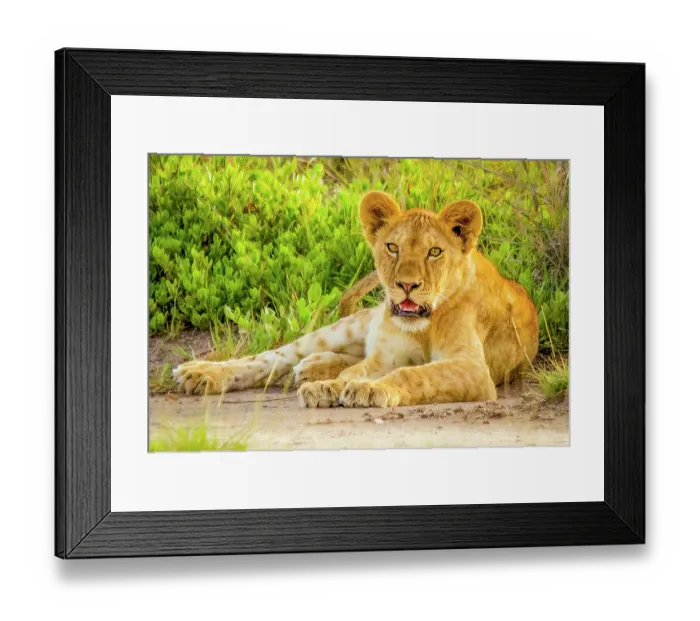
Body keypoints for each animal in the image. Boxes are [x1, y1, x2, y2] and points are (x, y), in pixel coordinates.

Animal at [173, 191, 539, 407]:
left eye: (435, 252)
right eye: (393, 247)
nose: (406, 285)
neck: (424, 324)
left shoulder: (474, 369)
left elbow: (412, 374)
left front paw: (370, 390)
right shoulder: (385, 356)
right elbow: (358, 371)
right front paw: (331, 388)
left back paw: (313, 369)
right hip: (344, 327)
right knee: (270, 358)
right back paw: (199, 374)